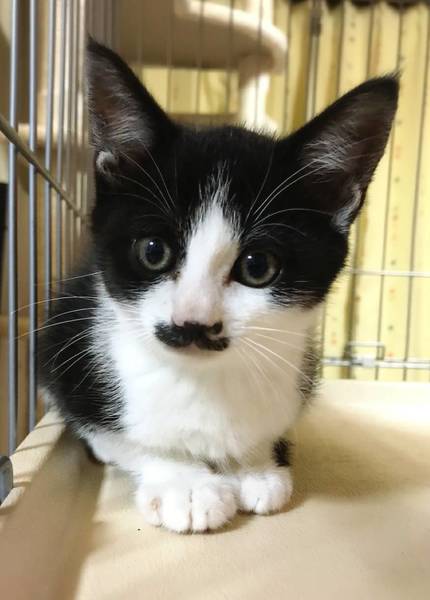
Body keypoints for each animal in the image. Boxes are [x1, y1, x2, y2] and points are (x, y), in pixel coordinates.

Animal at [38, 39, 398, 533]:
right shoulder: (64, 358)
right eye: (153, 251)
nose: (193, 322)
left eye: (257, 266)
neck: (204, 381)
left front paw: (256, 466)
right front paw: (185, 484)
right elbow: (120, 438)